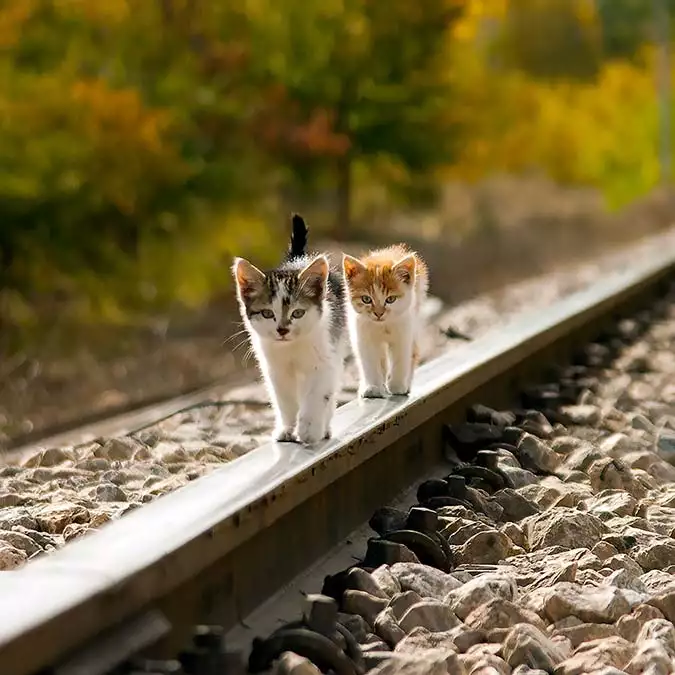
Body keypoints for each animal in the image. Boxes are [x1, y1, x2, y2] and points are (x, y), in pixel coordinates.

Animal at [232, 215, 348, 444]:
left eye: (298, 313)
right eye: (267, 313)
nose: (282, 330)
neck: (291, 348)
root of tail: (298, 260)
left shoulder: (323, 360)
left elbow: (316, 394)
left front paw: (309, 428)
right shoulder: (275, 369)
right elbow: (284, 399)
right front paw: (288, 428)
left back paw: (325, 427)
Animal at [344, 246, 428, 398]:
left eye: (390, 299)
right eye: (366, 299)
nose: (379, 313)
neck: (383, 325)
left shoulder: (404, 331)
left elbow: (401, 358)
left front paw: (397, 385)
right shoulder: (363, 336)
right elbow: (370, 361)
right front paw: (373, 386)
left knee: (414, 351)